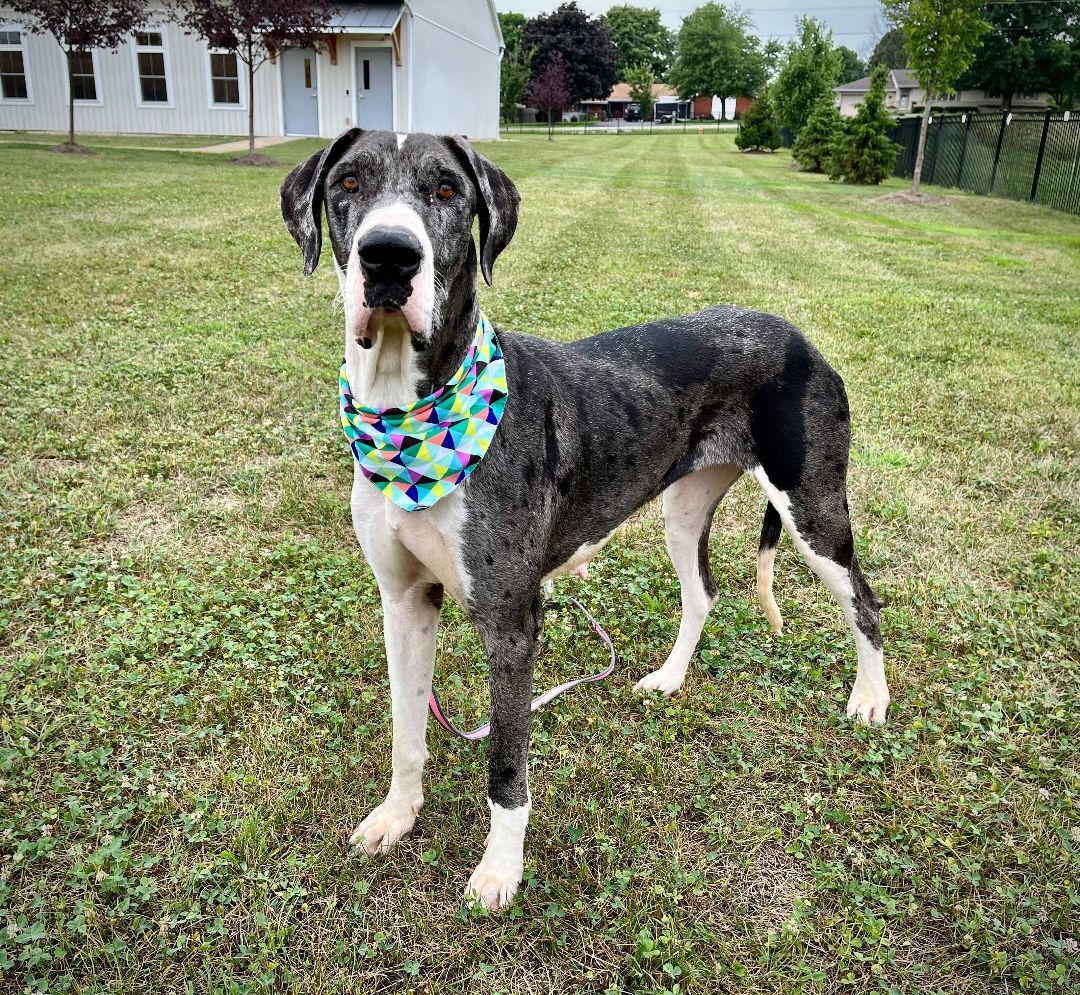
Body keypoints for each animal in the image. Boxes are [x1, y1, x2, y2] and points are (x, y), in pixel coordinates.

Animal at [276, 130, 885, 907]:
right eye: (348, 183)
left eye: (447, 190)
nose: (388, 256)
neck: (409, 415)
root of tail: (799, 335)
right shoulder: (405, 600)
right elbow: (406, 730)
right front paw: (397, 814)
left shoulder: (511, 621)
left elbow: (506, 766)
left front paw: (500, 869)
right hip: (684, 508)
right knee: (703, 592)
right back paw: (669, 678)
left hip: (812, 509)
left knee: (862, 598)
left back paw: (870, 700)